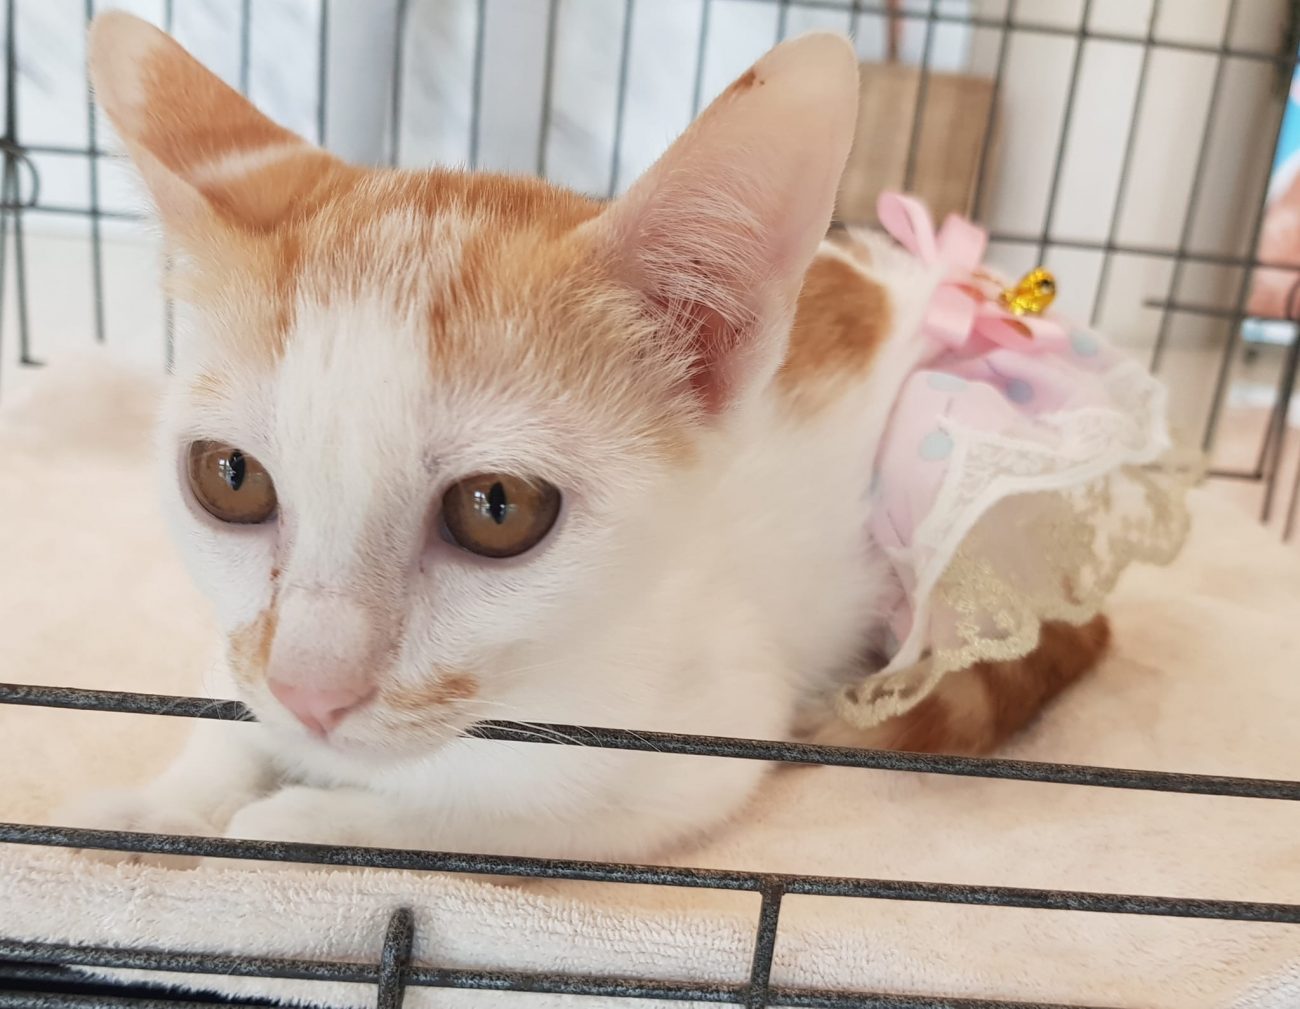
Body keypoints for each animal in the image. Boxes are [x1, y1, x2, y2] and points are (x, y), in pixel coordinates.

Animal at [64, 12, 1108, 866]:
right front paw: (161, 804)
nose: (313, 693)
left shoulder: (686, 749)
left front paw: (300, 819)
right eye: (229, 477)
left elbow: (488, 815)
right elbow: (230, 709)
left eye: (497, 509)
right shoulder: (246, 654)